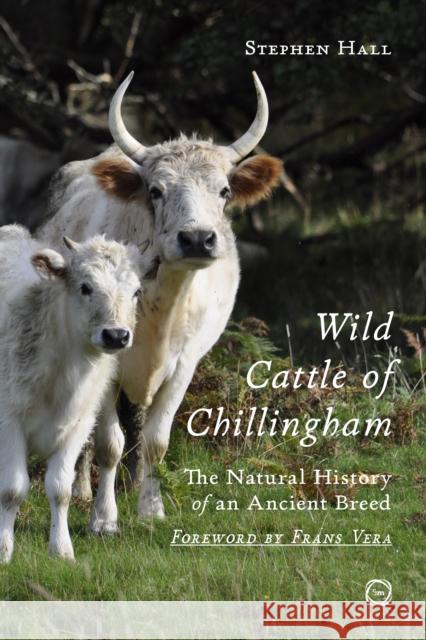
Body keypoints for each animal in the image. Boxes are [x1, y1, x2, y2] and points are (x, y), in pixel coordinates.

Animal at [0, 225, 142, 562]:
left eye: (136, 292)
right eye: (85, 287)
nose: (116, 335)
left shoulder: (78, 424)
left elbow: (60, 488)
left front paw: (61, 548)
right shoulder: (9, 420)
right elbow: (12, 489)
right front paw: (4, 548)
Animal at [38, 71, 282, 531]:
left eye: (224, 190)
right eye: (155, 190)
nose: (198, 238)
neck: (162, 303)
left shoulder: (185, 363)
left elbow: (154, 440)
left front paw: (150, 509)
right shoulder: (108, 360)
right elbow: (108, 443)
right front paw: (103, 518)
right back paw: (81, 491)